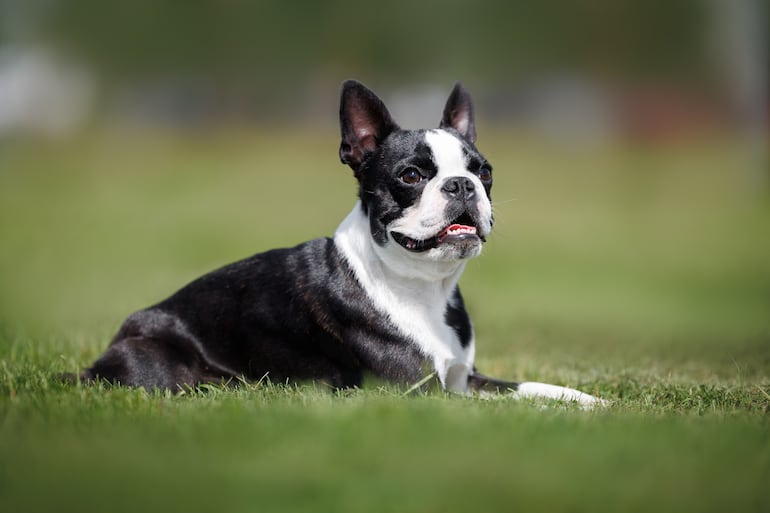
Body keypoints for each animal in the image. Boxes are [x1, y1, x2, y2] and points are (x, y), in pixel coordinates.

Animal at [78, 79, 604, 404]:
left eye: (485, 172)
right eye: (411, 176)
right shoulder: (420, 394)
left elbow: (531, 389)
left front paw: (594, 402)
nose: (461, 184)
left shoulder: (463, 380)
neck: (424, 287)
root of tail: (101, 358)